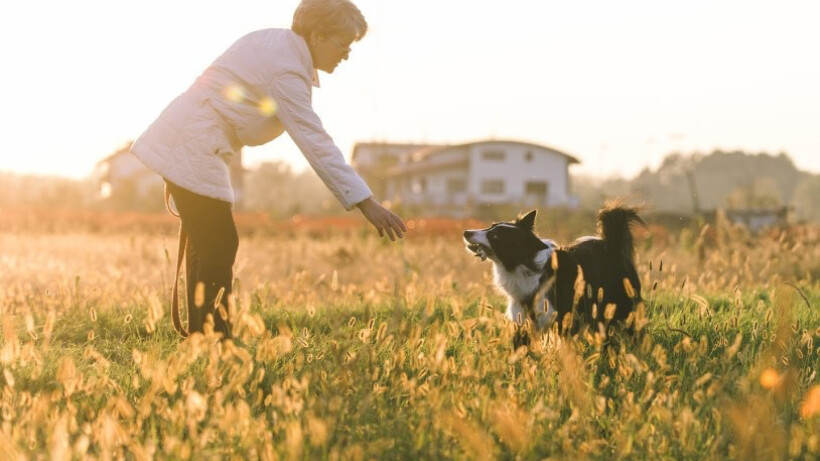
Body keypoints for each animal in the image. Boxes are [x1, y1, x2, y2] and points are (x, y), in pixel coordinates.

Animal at [464, 204, 644, 338]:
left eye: (495, 237)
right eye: (491, 226)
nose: (466, 232)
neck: (525, 264)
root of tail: (612, 245)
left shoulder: (562, 317)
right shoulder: (524, 319)